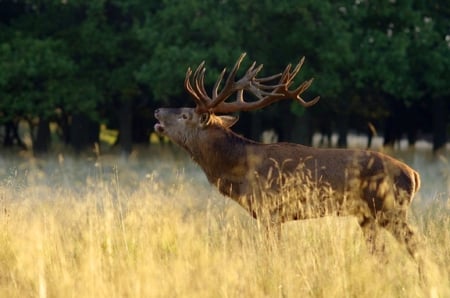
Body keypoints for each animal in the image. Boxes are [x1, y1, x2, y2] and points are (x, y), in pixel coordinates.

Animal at [154, 53, 422, 266]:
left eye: (185, 115)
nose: (157, 110)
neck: (241, 171)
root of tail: (414, 175)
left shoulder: (269, 210)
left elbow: (271, 253)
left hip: (390, 207)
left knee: (415, 245)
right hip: (368, 215)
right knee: (381, 253)